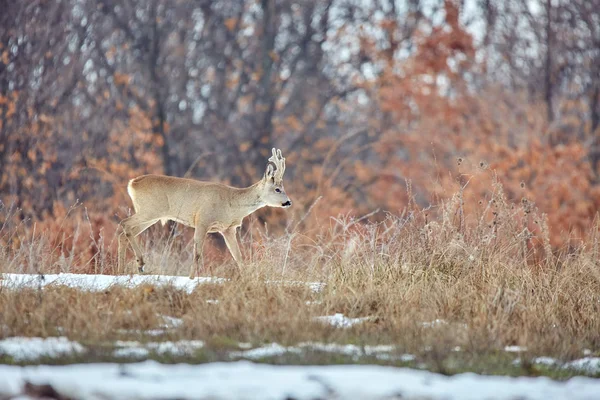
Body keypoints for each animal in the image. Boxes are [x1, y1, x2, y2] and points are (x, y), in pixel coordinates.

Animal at [117, 148, 290, 278]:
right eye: (277, 189)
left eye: (283, 188)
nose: (288, 202)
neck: (231, 203)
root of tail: (132, 183)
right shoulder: (202, 221)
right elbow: (197, 254)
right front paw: (192, 278)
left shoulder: (228, 229)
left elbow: (238, 257)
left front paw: (246, 278)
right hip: (150, 210)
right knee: (124, 223)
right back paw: (140, 263)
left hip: (151, 216)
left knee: (124, 233)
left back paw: (124, 269)